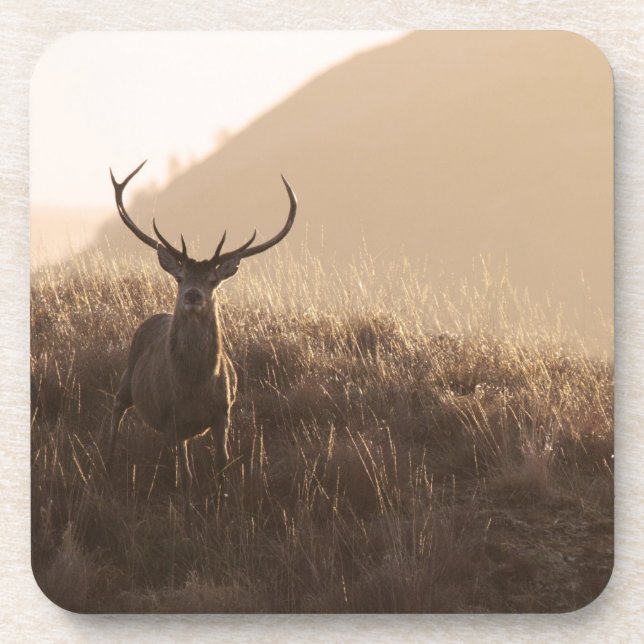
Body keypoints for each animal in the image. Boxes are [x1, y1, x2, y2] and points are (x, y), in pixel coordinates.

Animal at [106, 161, 297, 506]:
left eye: (212, 280)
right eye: (180, 277)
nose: (193, 295)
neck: (193, 386)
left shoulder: (223, 412)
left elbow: (222, 462)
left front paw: (222, 500)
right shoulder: (170, 418)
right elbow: (185, 473)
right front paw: (184, 499)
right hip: (128, 379)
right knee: (116, 408)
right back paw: (108, 464)